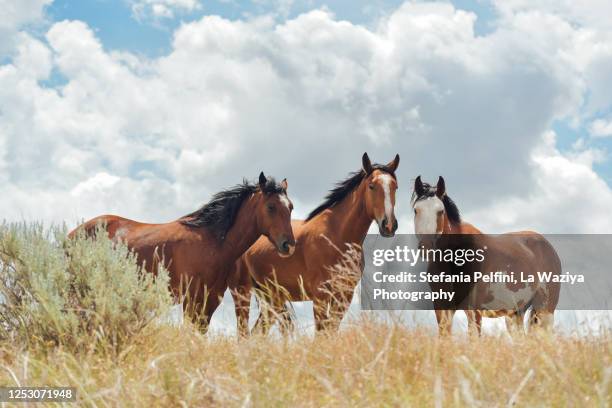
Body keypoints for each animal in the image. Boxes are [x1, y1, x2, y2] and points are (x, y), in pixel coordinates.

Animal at [69, 171, 294, 328]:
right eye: (271, 207)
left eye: (290, 207)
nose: (288, 245)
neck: (211, 241)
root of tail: (72, 234)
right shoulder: (191, 301)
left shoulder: (210, 302)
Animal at [230, 152, 402, 334]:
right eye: (371, 186)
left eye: (395, 187)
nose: (388, 225)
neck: (336, 236)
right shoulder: (320, 296)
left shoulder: (343, 296)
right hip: (242, 293)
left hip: (272, 299)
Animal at [412, 176, 560, 334]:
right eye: (416, 210)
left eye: (440, 211)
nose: (426, 247)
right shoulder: (442, 308)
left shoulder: (473, 310)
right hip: (514, 315)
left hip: (545, 311)